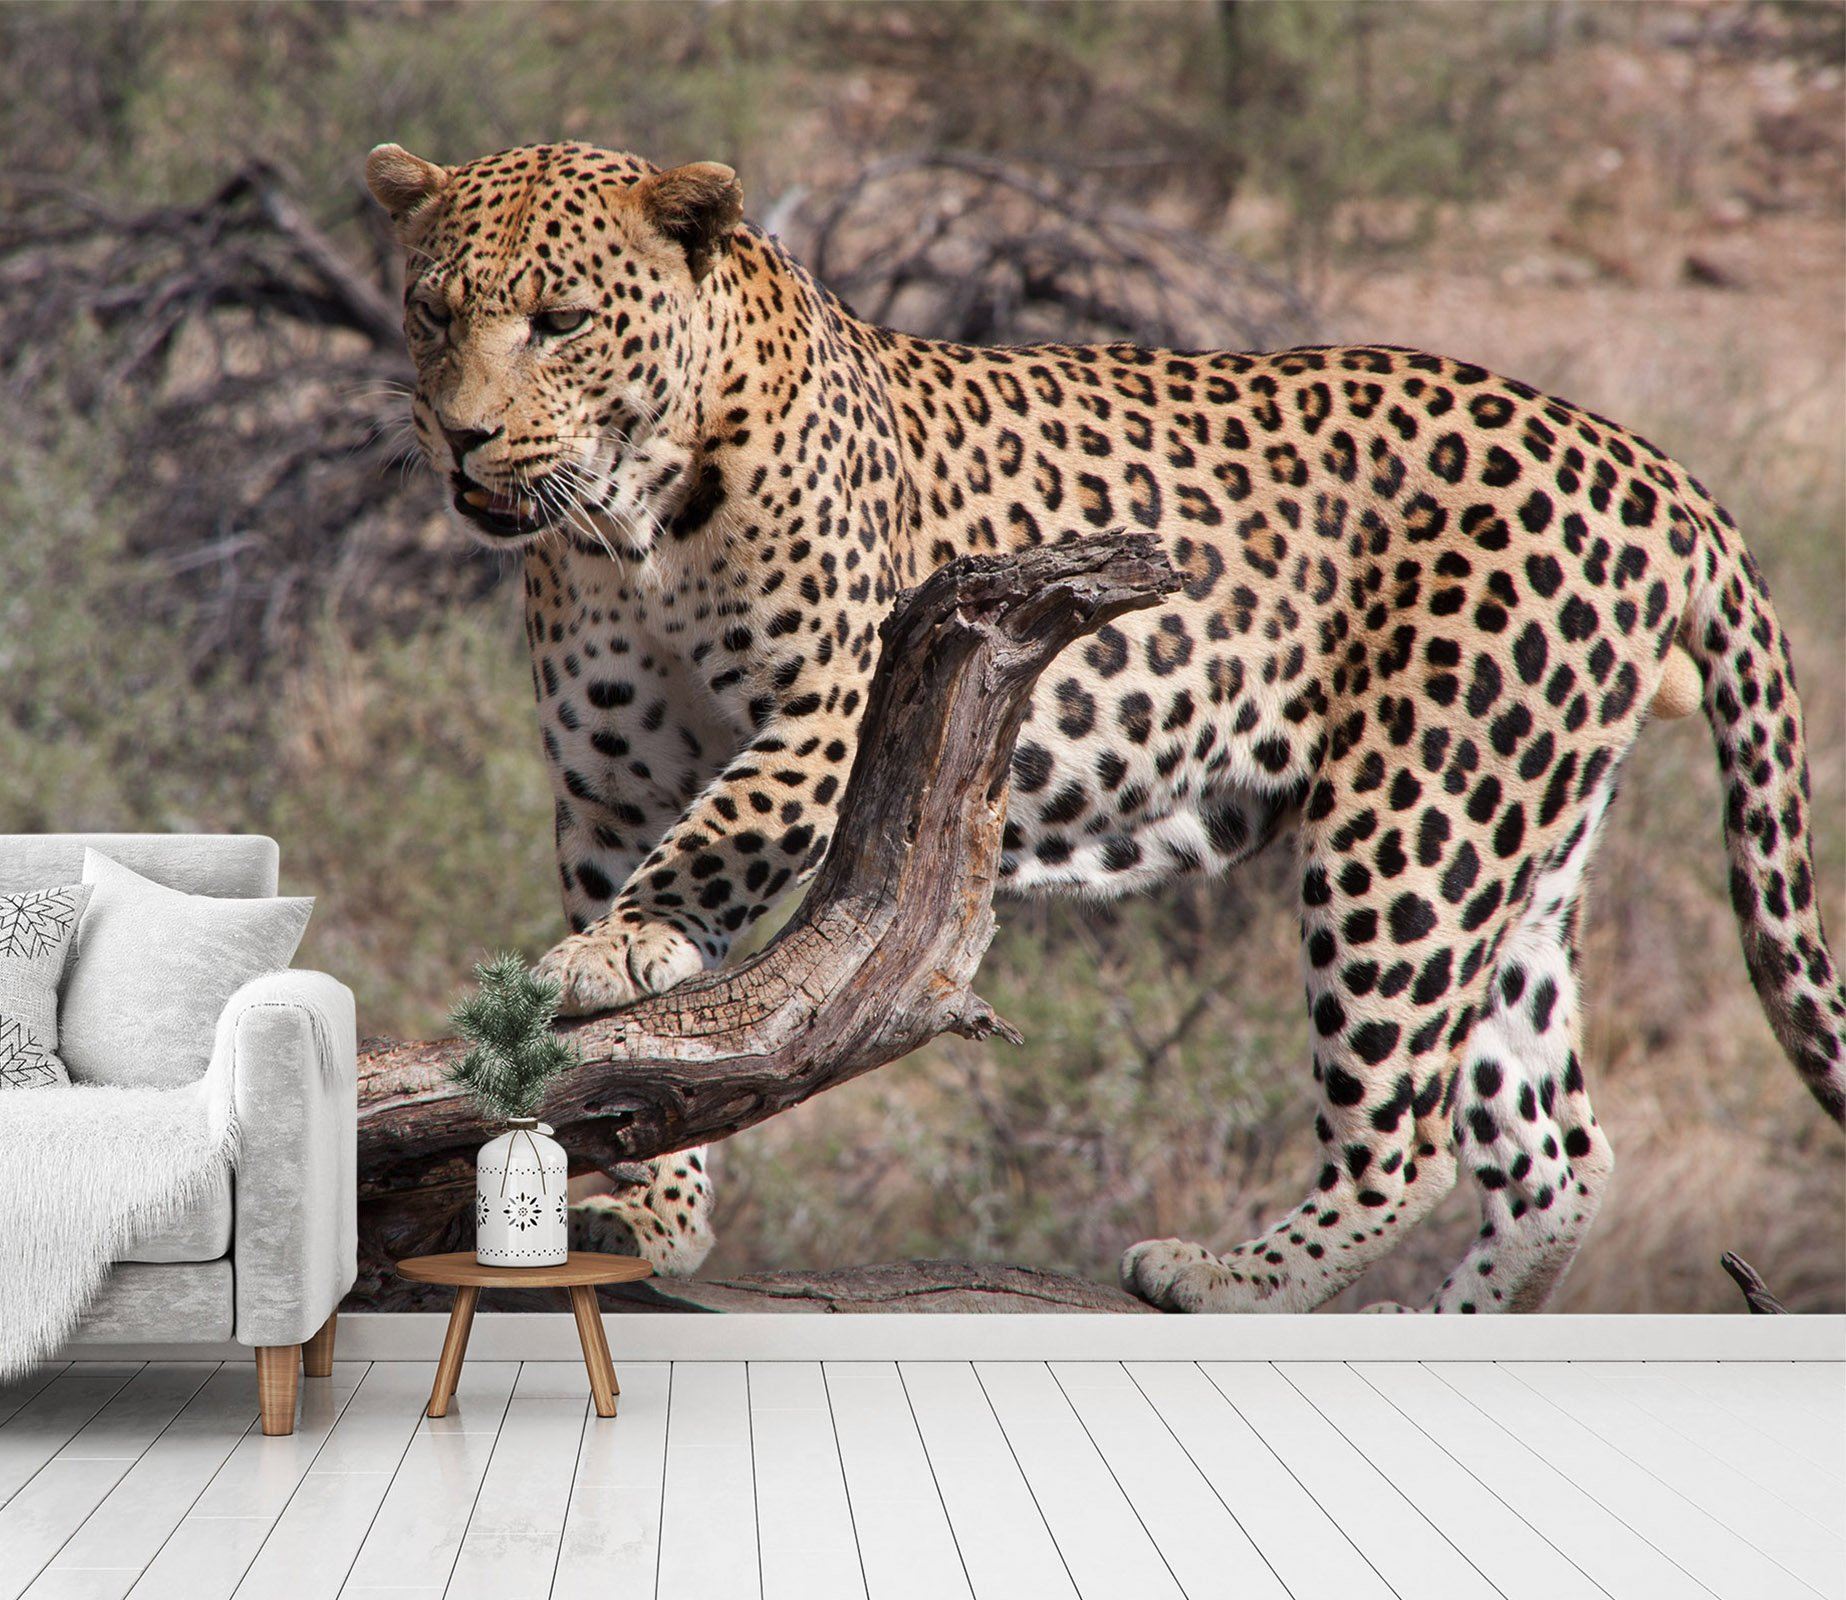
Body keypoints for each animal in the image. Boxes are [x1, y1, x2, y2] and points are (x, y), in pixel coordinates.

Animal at [366, 139, 1844, 1310]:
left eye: (560, 319)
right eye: (430, 312)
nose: (462, 436)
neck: (627, 528)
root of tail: (1649, 462)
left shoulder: (841, 696)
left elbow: (722, 836)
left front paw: (614, 950)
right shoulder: (608, 789)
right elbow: (656, 1054)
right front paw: (653, 1206)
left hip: (1416, 825)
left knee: (1412, 1135)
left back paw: (1229, 1276)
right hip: (1520, 849)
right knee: (1555, 1157)